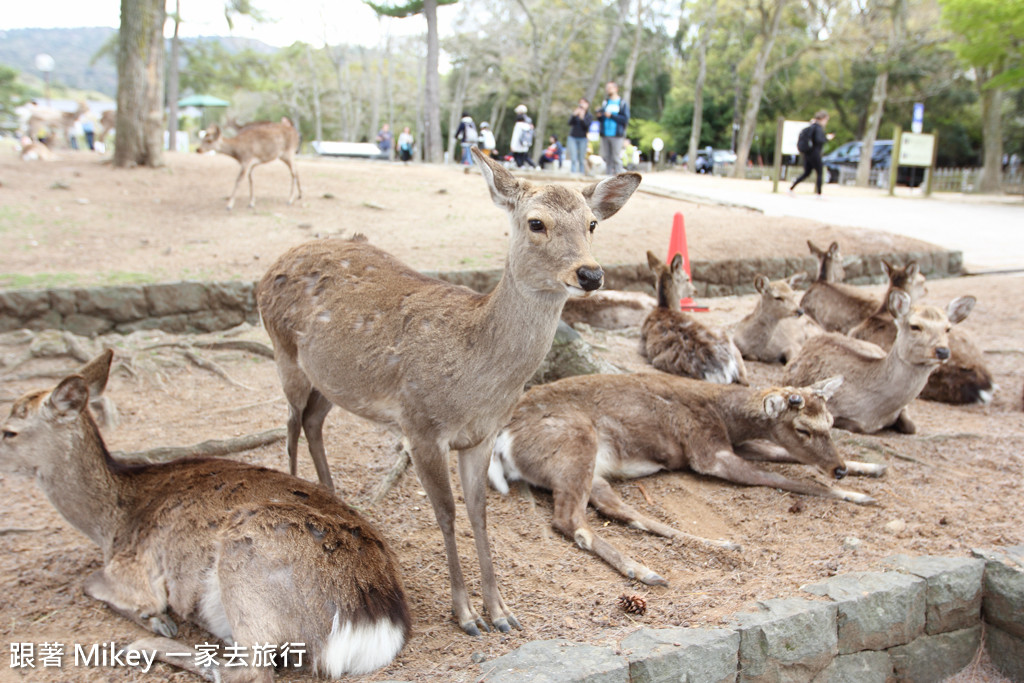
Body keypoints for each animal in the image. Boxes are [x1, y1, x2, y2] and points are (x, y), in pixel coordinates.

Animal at [4, 352, 411, 683]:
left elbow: (91, 583)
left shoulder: (132, 571)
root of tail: (373, 624)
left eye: (8, 431)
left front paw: (154, 618)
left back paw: (141, 644)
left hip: (246, 560)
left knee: (249, 671)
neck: (110, 523)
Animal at [256, 148, 638, 634]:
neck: (476, 383)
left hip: (331, 379)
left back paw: (339, 503)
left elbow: (479, 511)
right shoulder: (419, 425)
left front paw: (501, 612)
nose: (590, 273)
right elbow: (446, 512)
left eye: (592, 223)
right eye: (536, 222)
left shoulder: (483, 435)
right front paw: (466, 614)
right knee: (288, 425)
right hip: (283, 352)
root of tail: (273, 264)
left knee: (312, 421)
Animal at [487, 370, 880, 585]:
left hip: (593, 469)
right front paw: (858, 495)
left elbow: (784, 457)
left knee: (619, 511)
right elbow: (786, 479)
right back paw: (644, 571)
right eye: (803, 428)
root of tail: (502, 440)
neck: (727, 418)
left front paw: (870, 468)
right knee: (570, 520)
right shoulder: (708, 453)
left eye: (832, 422)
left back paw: (721, 545)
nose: (839, 469)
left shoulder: (737, 445)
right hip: (576, 445)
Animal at [634, 250, 749, 385]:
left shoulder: (641, 345)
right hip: (731, 345)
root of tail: (726, 369)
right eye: (687, 278)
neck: (665, 308)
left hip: (662, 361)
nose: (695, 290)